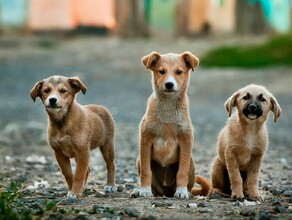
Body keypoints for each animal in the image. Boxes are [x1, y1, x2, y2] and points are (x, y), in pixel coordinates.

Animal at [136, 51, 211, 198]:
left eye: (179, 72)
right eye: (161, 71)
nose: (169, 84)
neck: (168, 106)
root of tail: (167, 192)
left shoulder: (186, 140)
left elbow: (182, 171)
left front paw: (181, 191)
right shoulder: (145, 139)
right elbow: (146, 171)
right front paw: (144, 190)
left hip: (191, 162)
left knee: (188, 183)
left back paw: (185, 191)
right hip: (139, 160)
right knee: (155, 188)